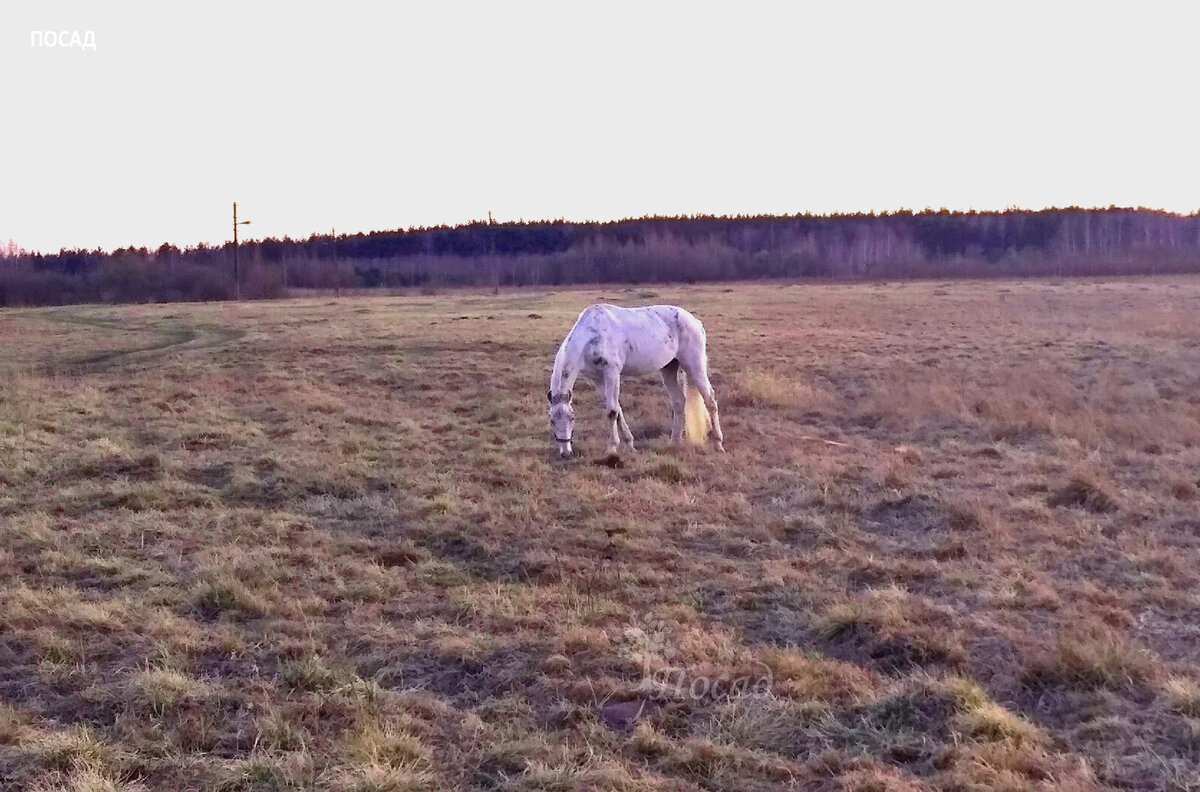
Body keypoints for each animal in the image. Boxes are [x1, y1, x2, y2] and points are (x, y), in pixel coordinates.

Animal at [549, 303, 724, 458]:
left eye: (572, 418)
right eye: (552, 421)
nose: (566, 453)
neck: (591, 336)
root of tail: (695, 321)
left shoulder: (612, 373)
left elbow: (612, 412)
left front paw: (612, 448)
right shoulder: (598, 379)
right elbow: (617, 410)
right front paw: (630, 445)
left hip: (694, 365)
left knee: (710, 400)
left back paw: (718, 444)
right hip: (668, 368)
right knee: (679, 401)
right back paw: (674, 442)